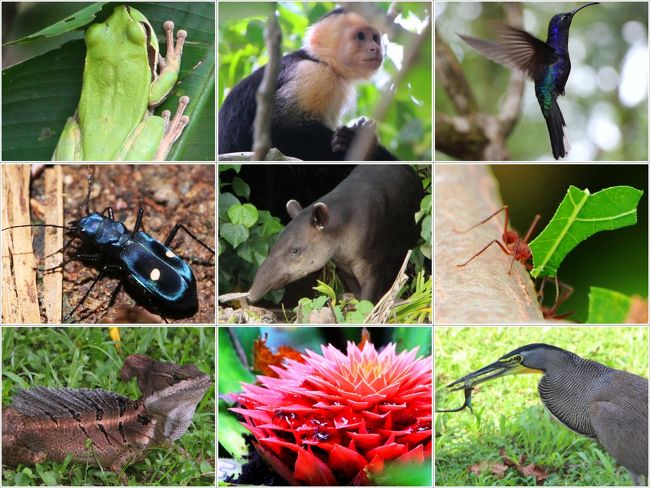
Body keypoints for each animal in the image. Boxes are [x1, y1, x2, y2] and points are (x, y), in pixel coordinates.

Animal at [218, 7, 394, 160]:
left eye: (375, 38)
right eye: (360, 36)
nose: (376, 48)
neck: (323, 61)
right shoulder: (314, 75)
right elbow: (277, 131)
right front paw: (357, 143)